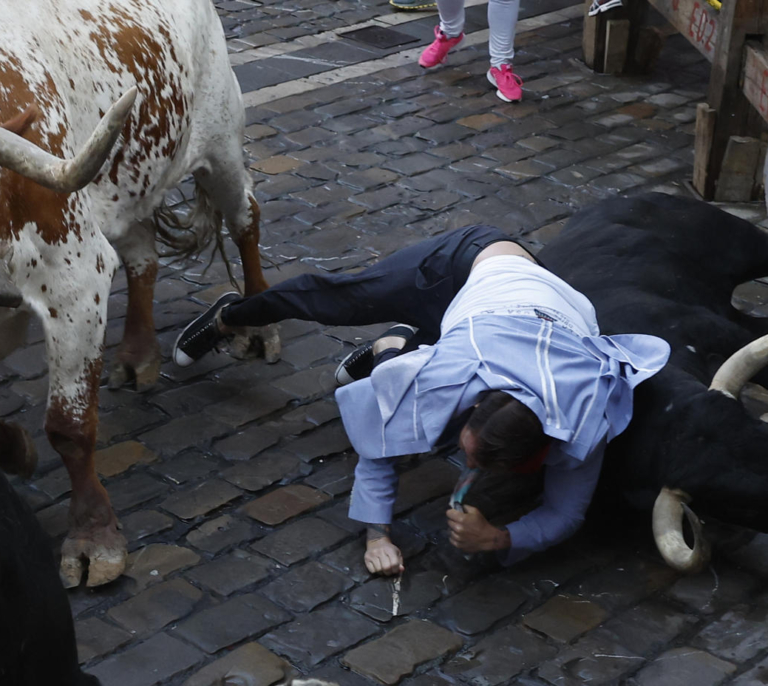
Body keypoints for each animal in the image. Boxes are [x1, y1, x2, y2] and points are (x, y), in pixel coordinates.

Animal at [0, 0, 282, 592]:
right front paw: (16, 451)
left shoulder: (74, 280)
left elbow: (70, 427)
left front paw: (93, 540)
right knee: (144, 258)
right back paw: (136, 356)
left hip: (221, 142)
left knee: (246, 218)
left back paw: (258, 326)